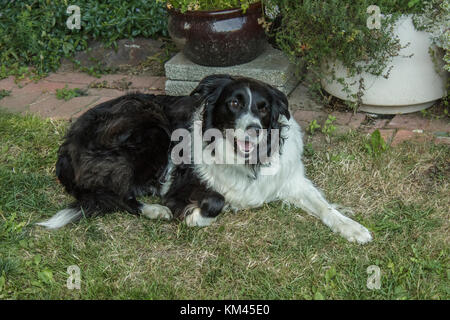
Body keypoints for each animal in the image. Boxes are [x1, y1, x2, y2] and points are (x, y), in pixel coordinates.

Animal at [36, 75, 372, 244]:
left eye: (263, 108)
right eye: (234, 103)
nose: (253, 129)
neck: (244, 160)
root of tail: (67, 144)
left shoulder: (290, 180)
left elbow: (325, 207)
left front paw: (352, 228)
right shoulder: (179, 185)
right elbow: (215, 200)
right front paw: (194, 216)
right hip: (152, 129)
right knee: (116, 196)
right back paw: (154, 210)